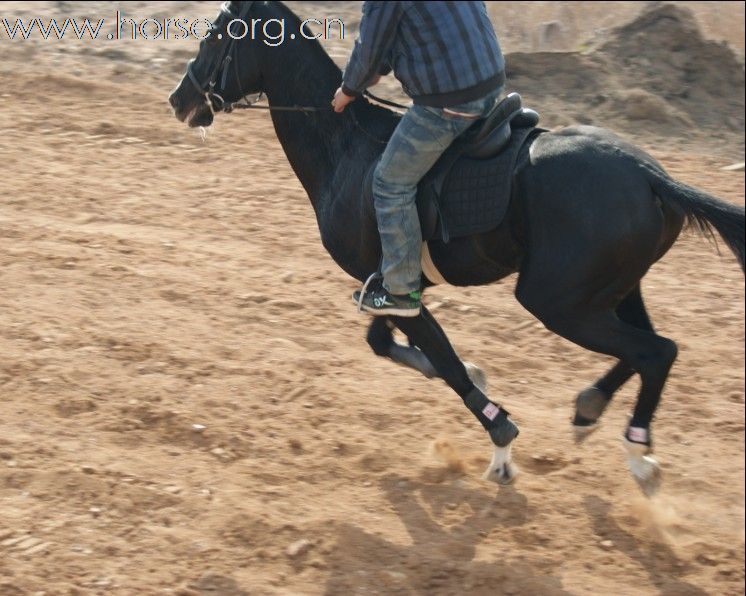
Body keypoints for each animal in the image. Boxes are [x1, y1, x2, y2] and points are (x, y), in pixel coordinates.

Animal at [166, 1, 740, 494]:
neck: (345, 144)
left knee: (655, 351)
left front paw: (501, 446)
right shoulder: (396, 287)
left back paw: (638, 454)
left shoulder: (394, 289)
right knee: (646, 348)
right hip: (612, 289)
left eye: (216, 34)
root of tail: (649, 175)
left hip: (557, 301)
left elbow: (445, 362)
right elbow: (398, 348)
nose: (179, 99)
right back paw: (590, 408)